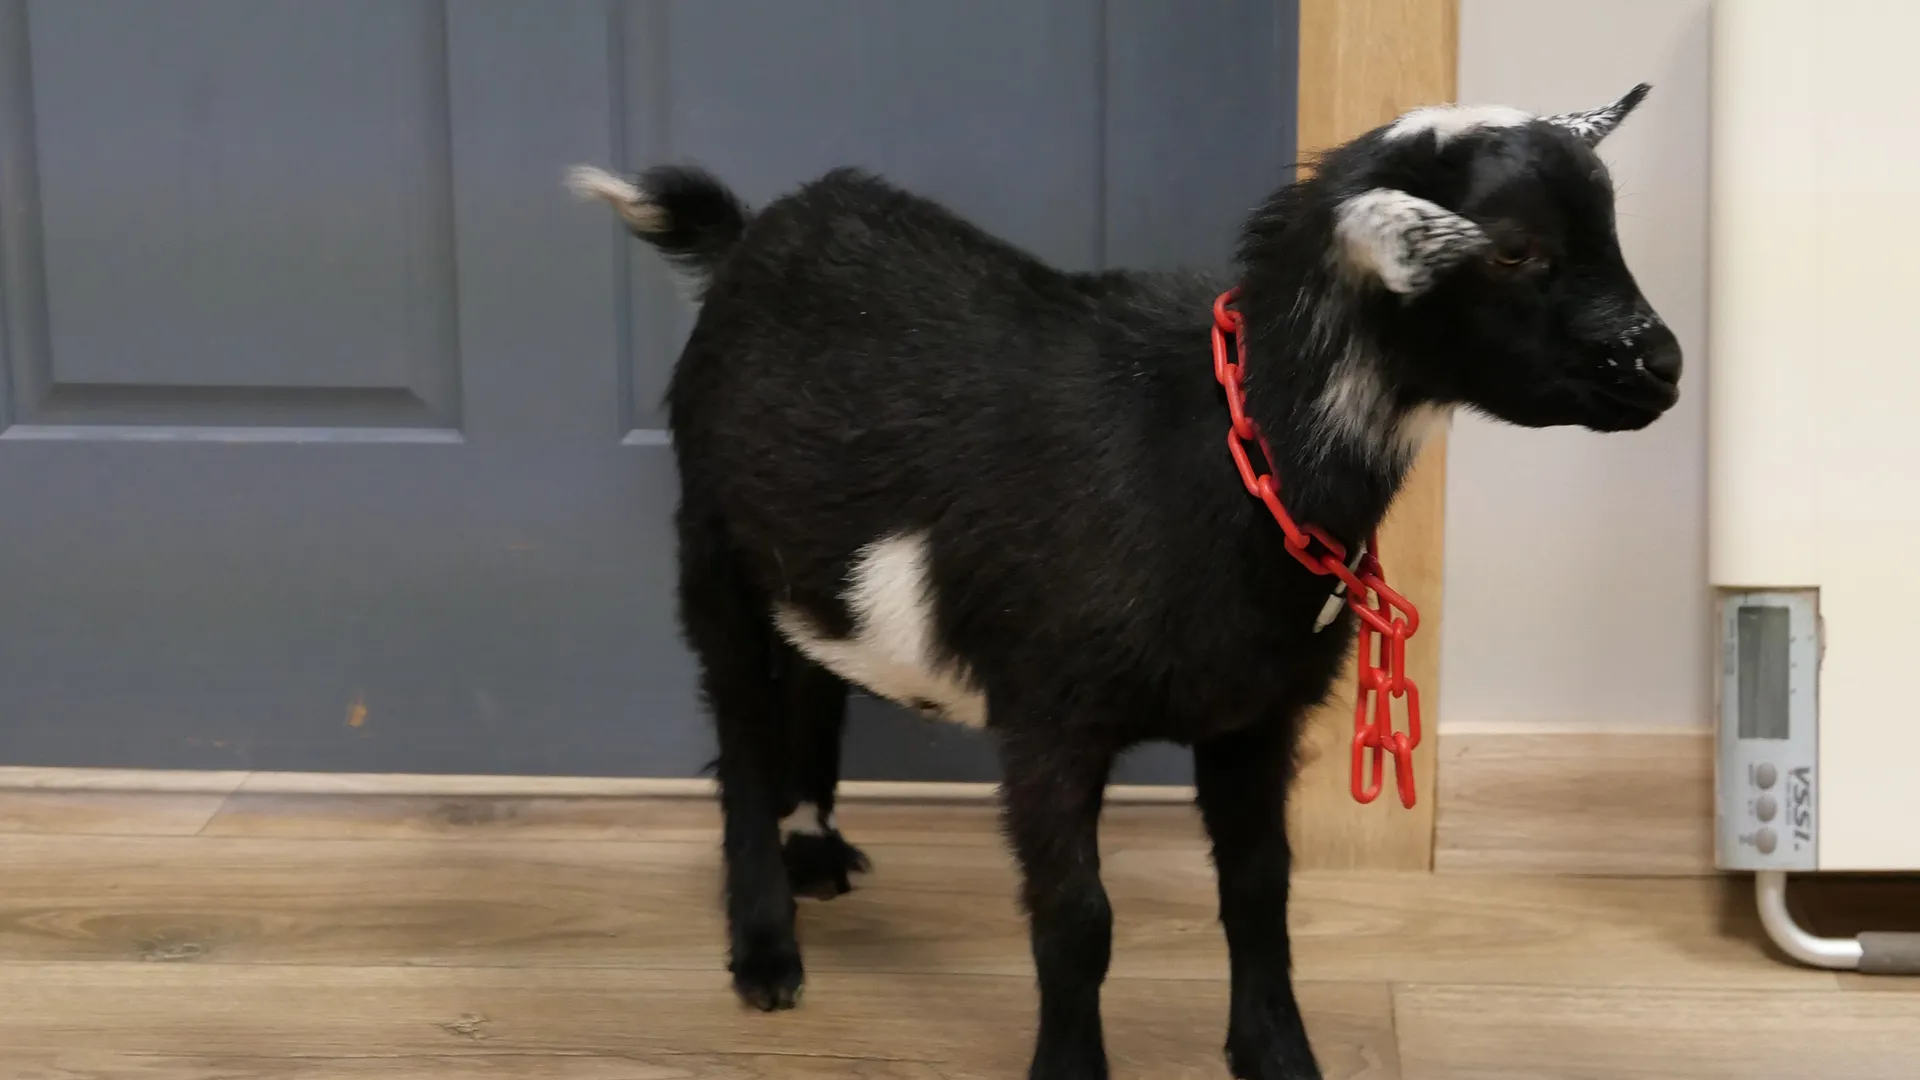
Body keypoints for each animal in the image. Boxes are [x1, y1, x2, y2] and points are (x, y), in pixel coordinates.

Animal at [568, 83, 1678, 1080]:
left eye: (1609, 229)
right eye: (1512, 248)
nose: (1660, 365)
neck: (1216, 447)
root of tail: (752, 236)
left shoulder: (1254, 715)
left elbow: (1259, 892)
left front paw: (1278, 1058)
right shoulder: (1048, 717)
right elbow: (1077, 921)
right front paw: (1070, 1068)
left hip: (809, 556)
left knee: (813, 671)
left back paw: (819, 854)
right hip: (709, 543)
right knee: (740, 730)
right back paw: (765, 950)